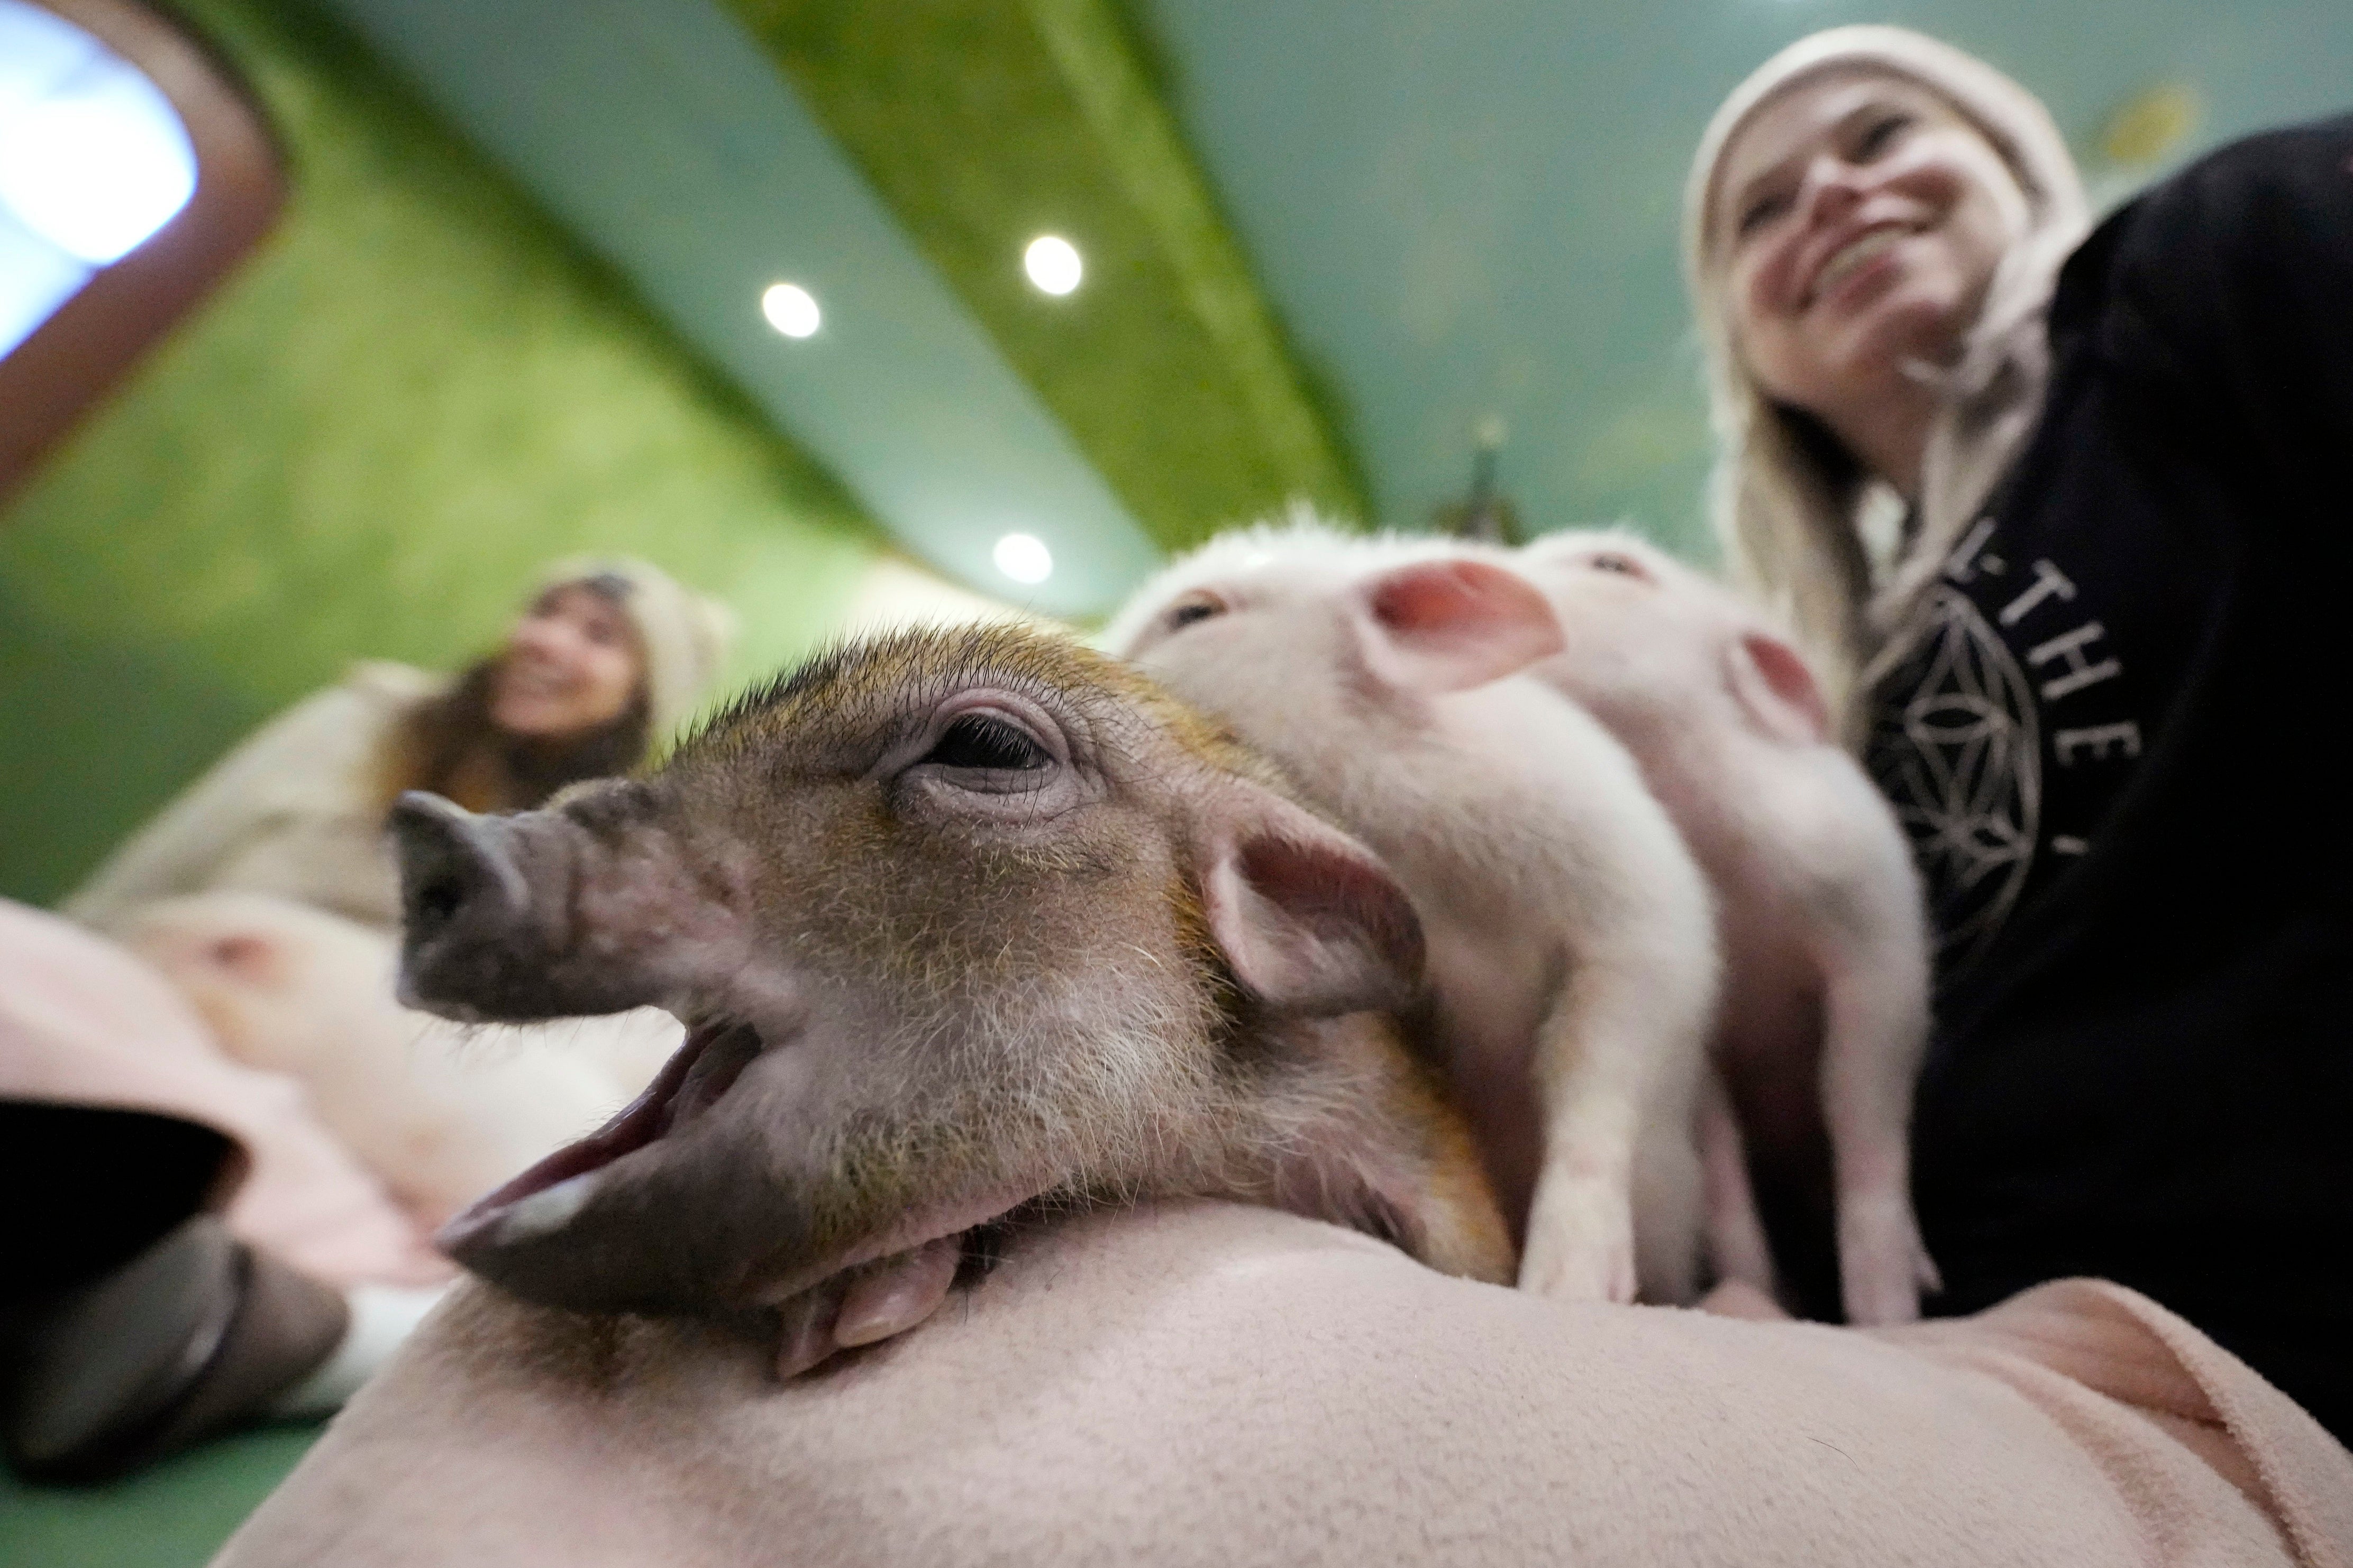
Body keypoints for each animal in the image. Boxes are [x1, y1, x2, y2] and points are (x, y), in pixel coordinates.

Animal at [1509, 529, 1937, 1325]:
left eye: (1611, 565)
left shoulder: (1877, 938)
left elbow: (1859, 1100)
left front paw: (1885, 1314)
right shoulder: (1703, 1022)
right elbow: (1720, 1162)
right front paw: (1753, 1291)